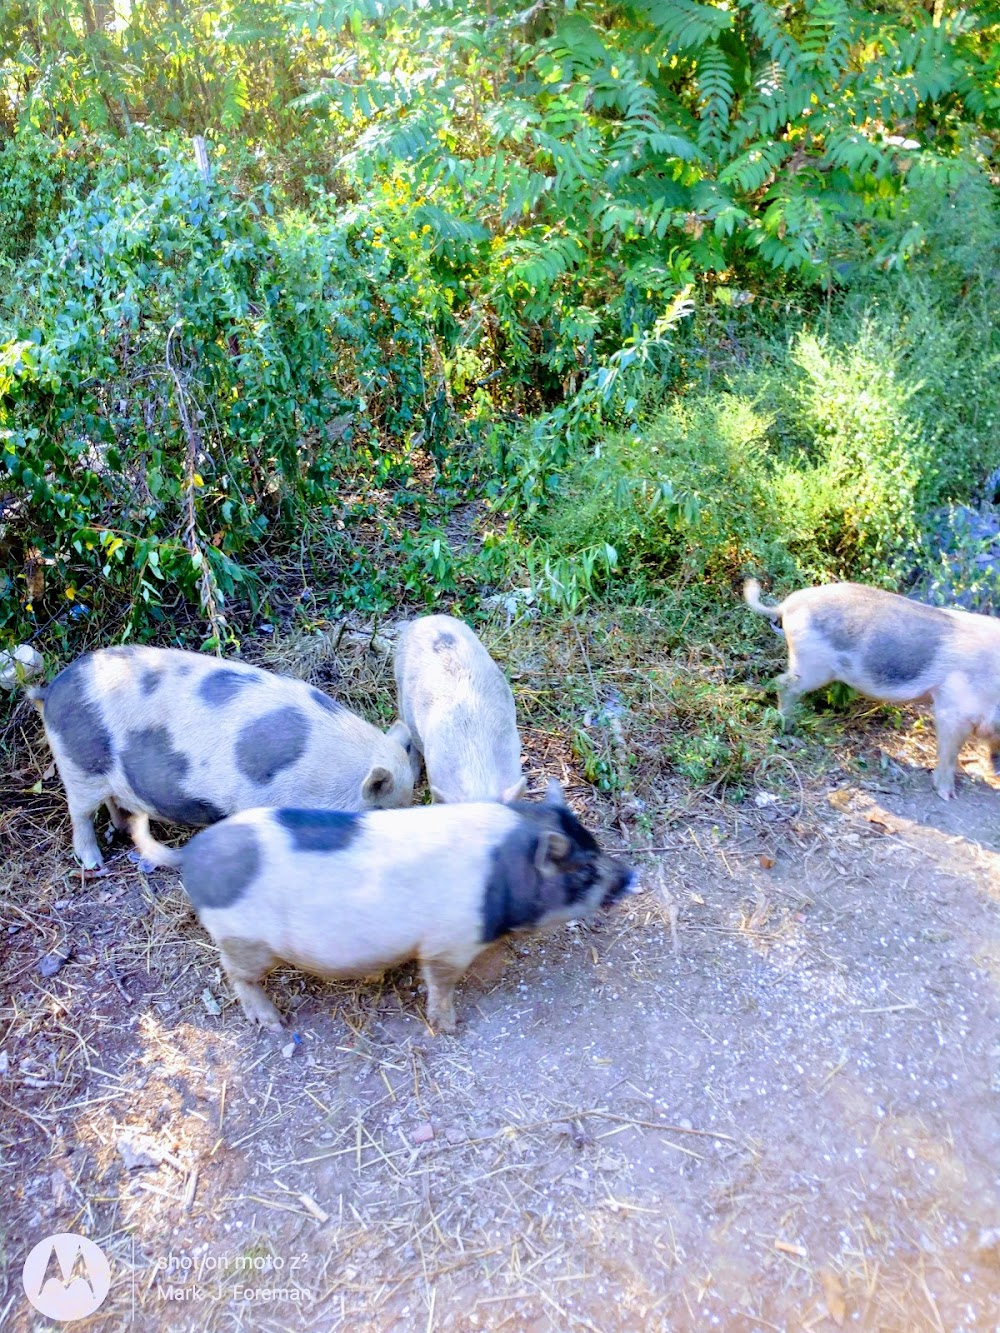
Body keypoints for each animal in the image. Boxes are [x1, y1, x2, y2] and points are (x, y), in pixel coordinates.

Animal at [29, 642, 416, 869]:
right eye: (383, 811)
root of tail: (53, 690)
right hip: (79, 765)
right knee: (79, 812)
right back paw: (93, 862)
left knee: (114, 803)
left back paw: (117, 831)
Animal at [129, 778, 637, 1029]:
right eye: (584, 870)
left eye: (594, 844)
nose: (631, 875)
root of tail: (193, 853)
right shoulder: (447, 944)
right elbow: (441, 984)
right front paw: (450, 1026)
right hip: (244, 940)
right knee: (237, 975)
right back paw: (272, 1023)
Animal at [746, 575, 1000, 799]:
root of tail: (788, 605)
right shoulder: (954, 708)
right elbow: (950, 751)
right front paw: (948, 795)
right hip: (812, 665)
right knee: (784, 684)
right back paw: (788, 728)